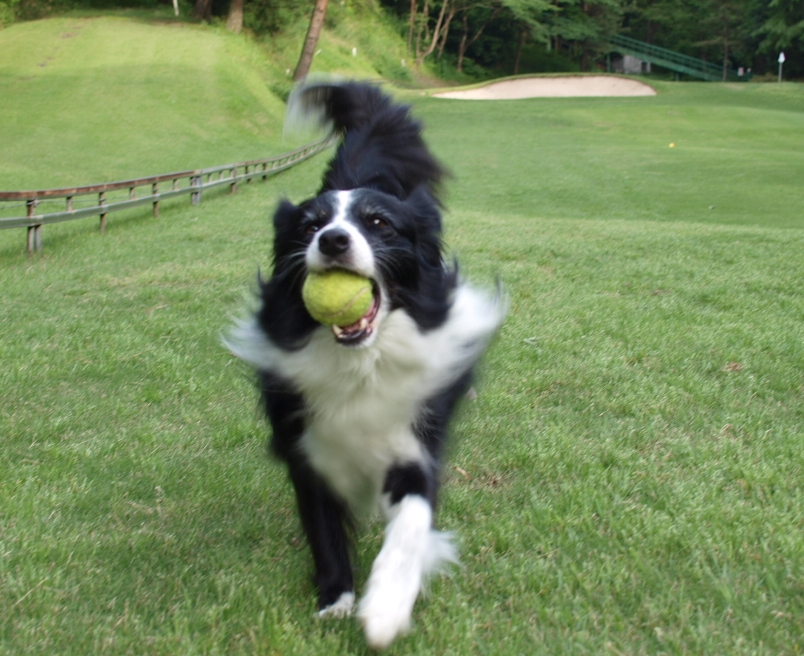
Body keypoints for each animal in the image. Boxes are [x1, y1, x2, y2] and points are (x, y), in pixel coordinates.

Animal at [226, 81, 504, 649]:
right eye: (309, 226)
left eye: (378, 224)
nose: (332, 239)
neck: (362, 363)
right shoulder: (307, 447)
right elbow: (322, 526)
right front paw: (335, 599)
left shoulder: (415, 443)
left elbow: (412, 520)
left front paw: (386, 606)